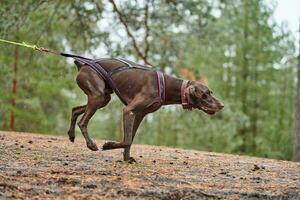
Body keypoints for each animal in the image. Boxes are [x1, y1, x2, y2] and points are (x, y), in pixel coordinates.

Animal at [67, 58, 224, 162]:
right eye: (205, 94)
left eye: (211, 92)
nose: (222, 105)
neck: (165, 85)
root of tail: (82, 64)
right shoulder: (129, 110)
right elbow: (127, 140)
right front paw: (109, 145)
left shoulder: (139, 115)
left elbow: (130, 139)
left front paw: (126, 158)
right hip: (97, 95)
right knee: (82, 122)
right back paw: (91, 144)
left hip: (103, 98)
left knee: (75, 110)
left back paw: (71, 135)